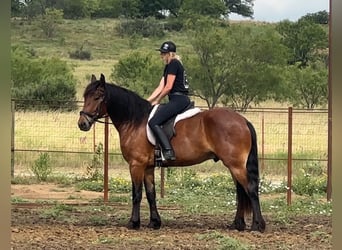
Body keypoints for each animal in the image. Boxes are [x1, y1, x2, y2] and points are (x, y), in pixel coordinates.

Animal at [78, 73, 268, 232]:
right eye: (85, 96)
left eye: (97, 97)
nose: (82, 123)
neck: (135, 121)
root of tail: (242, 120)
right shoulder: (147, 167)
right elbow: (151, 194)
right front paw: (154, 222)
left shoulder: (136, 165)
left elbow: (137, 194)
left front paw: (134, 223)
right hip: (233, 165)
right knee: (240, 191)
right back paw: (238, 224)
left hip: (235, 164)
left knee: (250, 189)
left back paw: (257, 225)